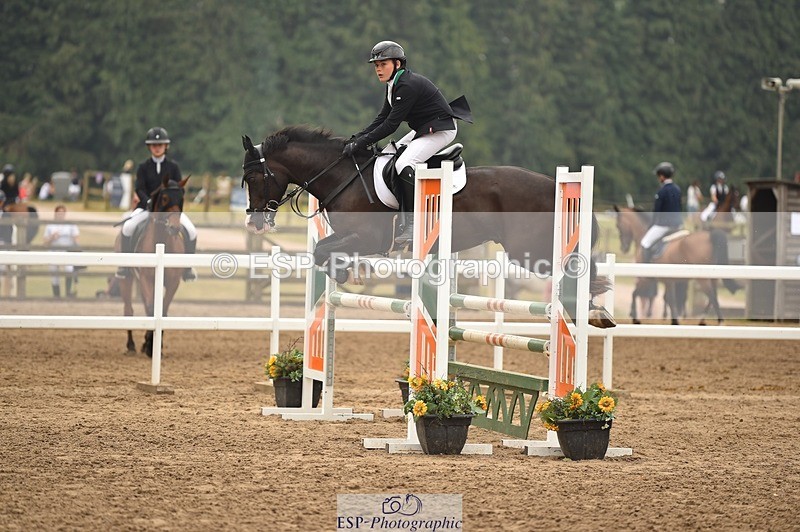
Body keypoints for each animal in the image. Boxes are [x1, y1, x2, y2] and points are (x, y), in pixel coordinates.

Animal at [118, 175, 189, 356]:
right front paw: (150, 347)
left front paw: (154, 345)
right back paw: (131, 345)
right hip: (127, 279)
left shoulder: (173, 283)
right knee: (128, 310)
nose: (174, 228)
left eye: (182, 198)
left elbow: (162, 310)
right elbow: (151, 309)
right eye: (164, 198)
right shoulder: (146, 279)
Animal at [240, 126, 615, 328]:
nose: (254, 222)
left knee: (578, 268)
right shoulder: (351, 238)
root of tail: (555, 184)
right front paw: (344, 271)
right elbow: (322, 250)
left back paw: (593, 309)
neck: (343, 176)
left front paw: (344, 272)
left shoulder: (367, 238)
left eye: (255, 177)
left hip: (530, 251)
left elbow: (322, 250)